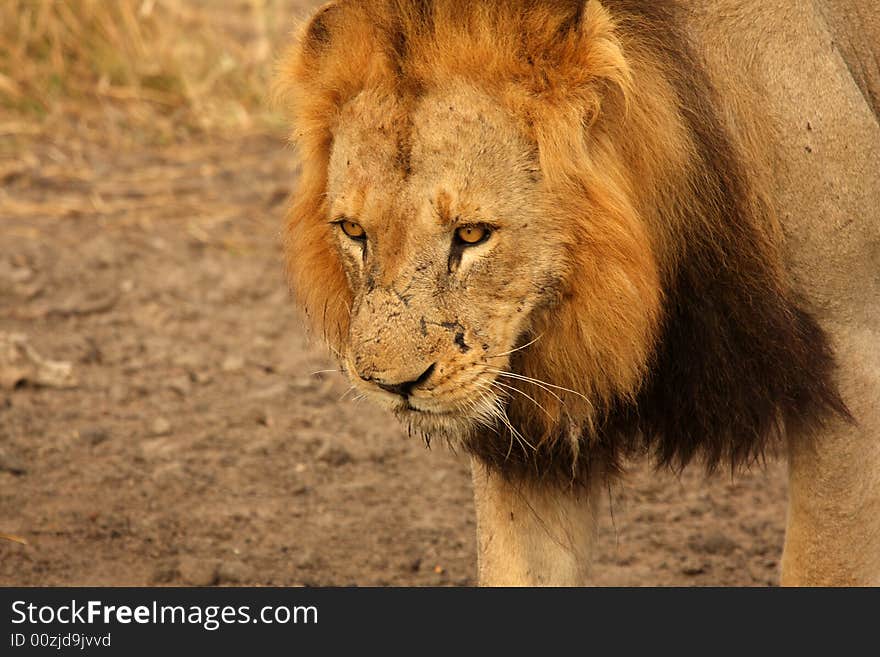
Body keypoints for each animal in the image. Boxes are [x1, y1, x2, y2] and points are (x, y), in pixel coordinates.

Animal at [276, 0, 880, 584]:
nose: (393, 385)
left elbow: (823, 568)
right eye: (354, 232)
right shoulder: (532, 437)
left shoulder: (854, 355)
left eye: (471, 234)